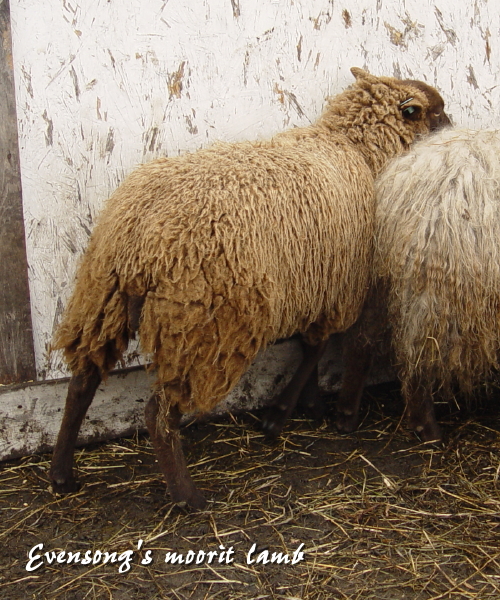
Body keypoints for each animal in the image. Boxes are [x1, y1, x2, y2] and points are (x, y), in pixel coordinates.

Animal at [49, 68, 450, 509]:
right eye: (435, 111)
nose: (453, 128)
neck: (353, 149)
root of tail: (147, 237)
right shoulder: (336, 290)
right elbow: (315, 347)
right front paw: (280, 415)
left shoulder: (310, 286)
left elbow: (305, 346)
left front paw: (306, 403)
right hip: (201, 326)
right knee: (159, 412)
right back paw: (187, 495)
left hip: (102, 299)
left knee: (81, 385)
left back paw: (61, 474)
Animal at [336, 127, 500, 443]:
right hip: (437, 290)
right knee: (417, 360)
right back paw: (428, 429)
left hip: (379, 280)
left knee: (360, 341)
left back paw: (347, 415)